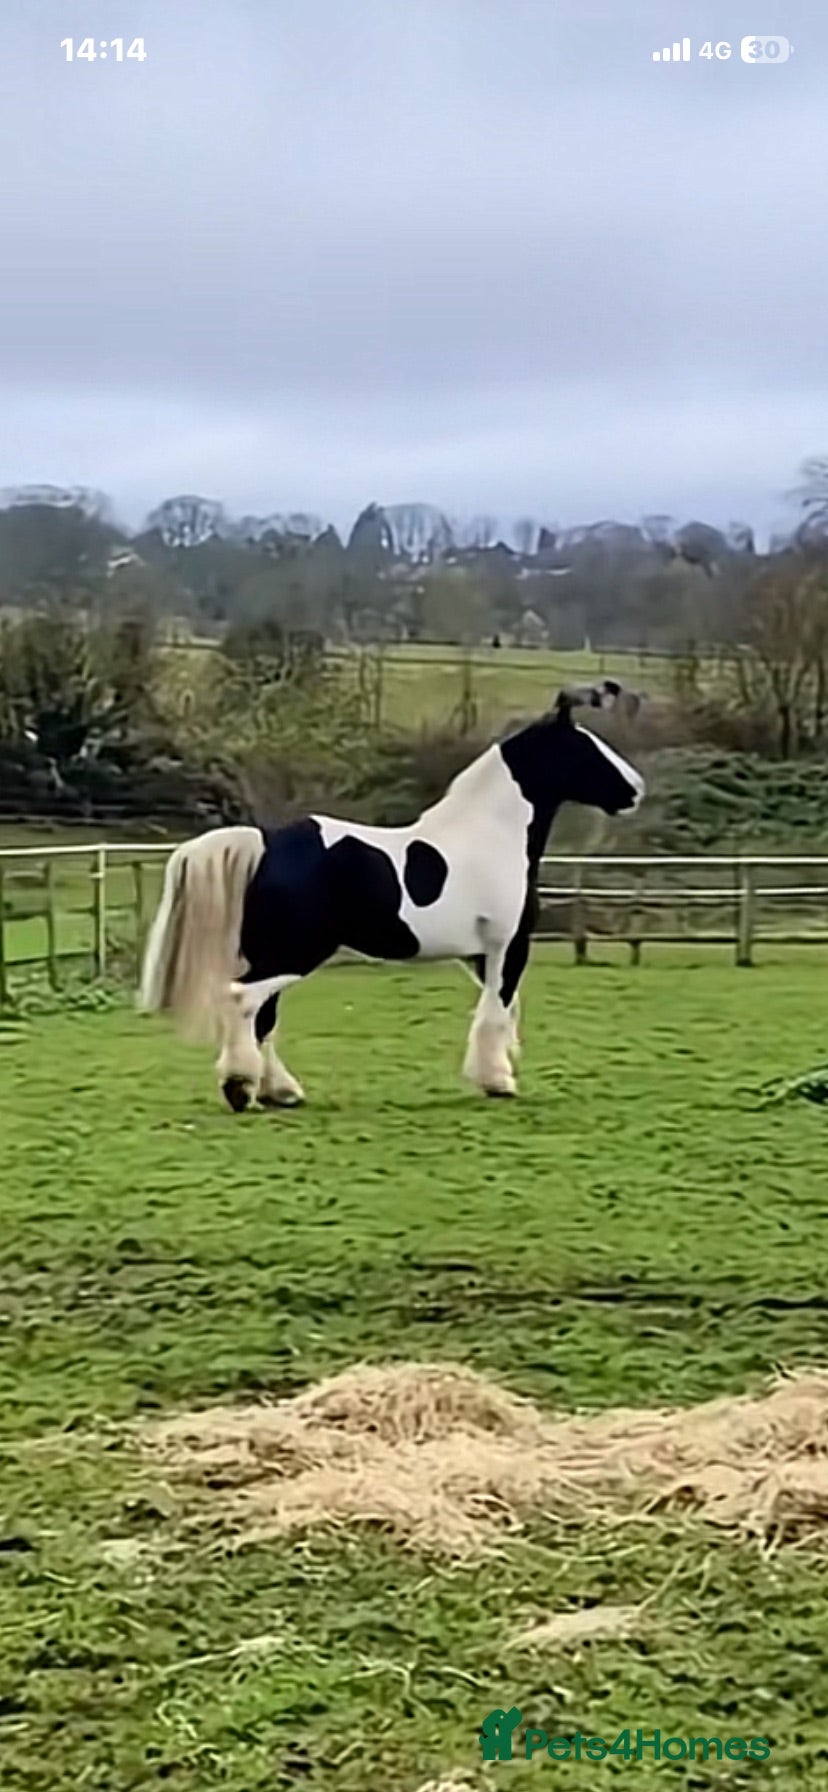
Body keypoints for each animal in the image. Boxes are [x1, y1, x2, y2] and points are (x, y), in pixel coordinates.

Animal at [138, 685, 644, 1110]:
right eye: (585, 748)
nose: (635, 790)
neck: (491, 836)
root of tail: (265, 842)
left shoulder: (481, 954)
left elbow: (501, 1009)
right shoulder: (508, 945)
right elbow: (496, 1011)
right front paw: (498, 1082)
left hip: (272, 952)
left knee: (262, 1017)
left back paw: (280, 1091)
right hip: (296, 952)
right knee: (243, 1001)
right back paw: (241, 1088)